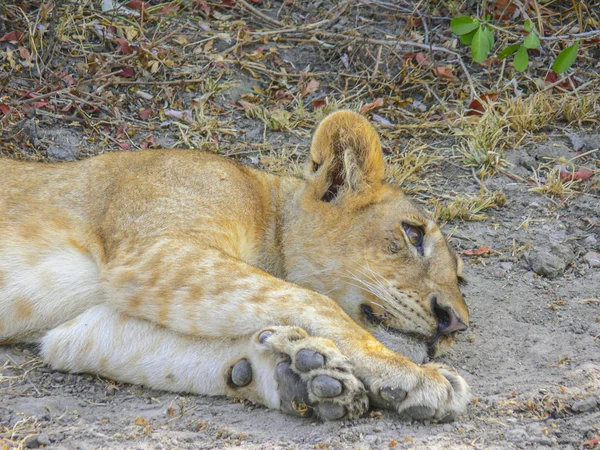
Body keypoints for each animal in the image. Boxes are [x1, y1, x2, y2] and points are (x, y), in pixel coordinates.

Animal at [0, 110, 468, 422]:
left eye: (461, 275)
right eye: (413, 235)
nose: (456, 324)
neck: (268, 211)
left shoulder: (86, 323)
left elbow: (167, 355)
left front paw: (299, 374)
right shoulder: (156, 251)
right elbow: (313, 301)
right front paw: (412, 375)